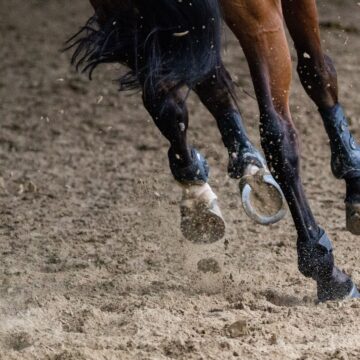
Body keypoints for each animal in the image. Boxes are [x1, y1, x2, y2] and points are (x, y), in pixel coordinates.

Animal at [65, 0, 360, 302]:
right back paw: (324, 268)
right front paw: (353, 176)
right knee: (277, 133)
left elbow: (203, 84)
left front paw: (239, 166)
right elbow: (317, 71)